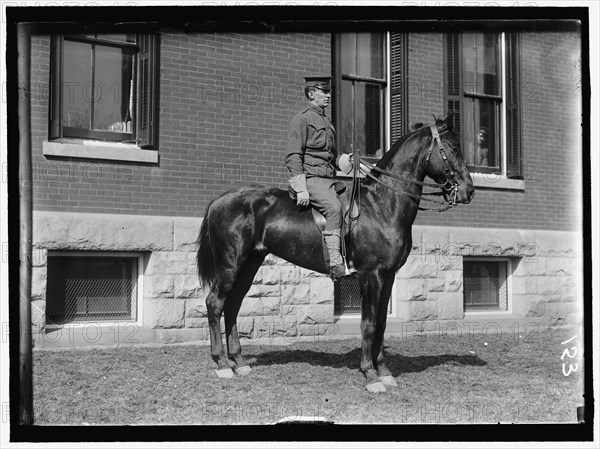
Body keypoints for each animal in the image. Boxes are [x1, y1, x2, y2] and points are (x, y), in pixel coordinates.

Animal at [196, 113, 474, 392]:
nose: (468, 190)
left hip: (250, 264)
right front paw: (370, 374)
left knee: (233, 305)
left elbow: (382, 323)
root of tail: (219, 201)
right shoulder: (371, 276)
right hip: (230, 265)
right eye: (452, 148)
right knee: (215, 303)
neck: (382, 204)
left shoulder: (388, 276)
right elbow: (368, 323)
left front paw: (384, 371)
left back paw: (239, 362)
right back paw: (222, 363)